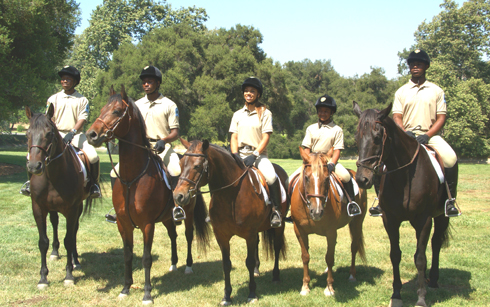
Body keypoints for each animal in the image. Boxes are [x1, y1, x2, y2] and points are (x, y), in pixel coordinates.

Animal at [24, 104, 94, 290]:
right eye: (27, 133)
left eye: (49, 133)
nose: (34, 166)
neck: (52, 176)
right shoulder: (38, 208)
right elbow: (43, 242)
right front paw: (43, 278)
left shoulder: (72, 209)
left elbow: (69, 239)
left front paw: (69, 275)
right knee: (55, 224)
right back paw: (55, 252)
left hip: (78, 207)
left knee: (74, 231)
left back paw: (76, 260)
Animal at [85, 85, 210, 304]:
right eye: (101, 109)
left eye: (116, 111)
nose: (91, 134)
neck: (132, 178)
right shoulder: (123, 224)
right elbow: (127, 255)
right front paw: (125, 288)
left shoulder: (147, 224)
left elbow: (146, 258)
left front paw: (147, 293)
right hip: (168, 217)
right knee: (173, 235)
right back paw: (174, 264)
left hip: (188, 212)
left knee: (187, 235)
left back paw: (187, 266)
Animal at [172, 140, 290, 306]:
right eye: (181, 164)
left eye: (197, 166)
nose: (178, 196)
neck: (231, 196)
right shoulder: (222, 235)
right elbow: (226, 264)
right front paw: (227, 296)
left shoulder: (249, 235)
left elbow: (249, 261)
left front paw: (252, 294)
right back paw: (257, 271)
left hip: (280, 226)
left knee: (277, 246)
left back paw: (275, 276)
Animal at [290, 147, 366, 298]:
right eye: (306, 178)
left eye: (326, 179)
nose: (317, 212)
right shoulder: (299, 231)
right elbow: (305, 256)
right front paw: (305, 286)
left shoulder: (331, 232)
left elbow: (330, 257)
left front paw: (329, 287)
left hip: (357, 222)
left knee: (353, 247)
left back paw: (352, 275)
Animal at [352, 103, 452, 307]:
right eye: (357, 138)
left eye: (376, 138)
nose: (362, 180)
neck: (404, 177)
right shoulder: (390, 220)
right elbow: (395, 255)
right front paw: (396, 294)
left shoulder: (424, 220)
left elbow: (420, 258)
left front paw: (421, 297)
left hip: (441, 216)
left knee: (436, 243)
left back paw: (433, 280)